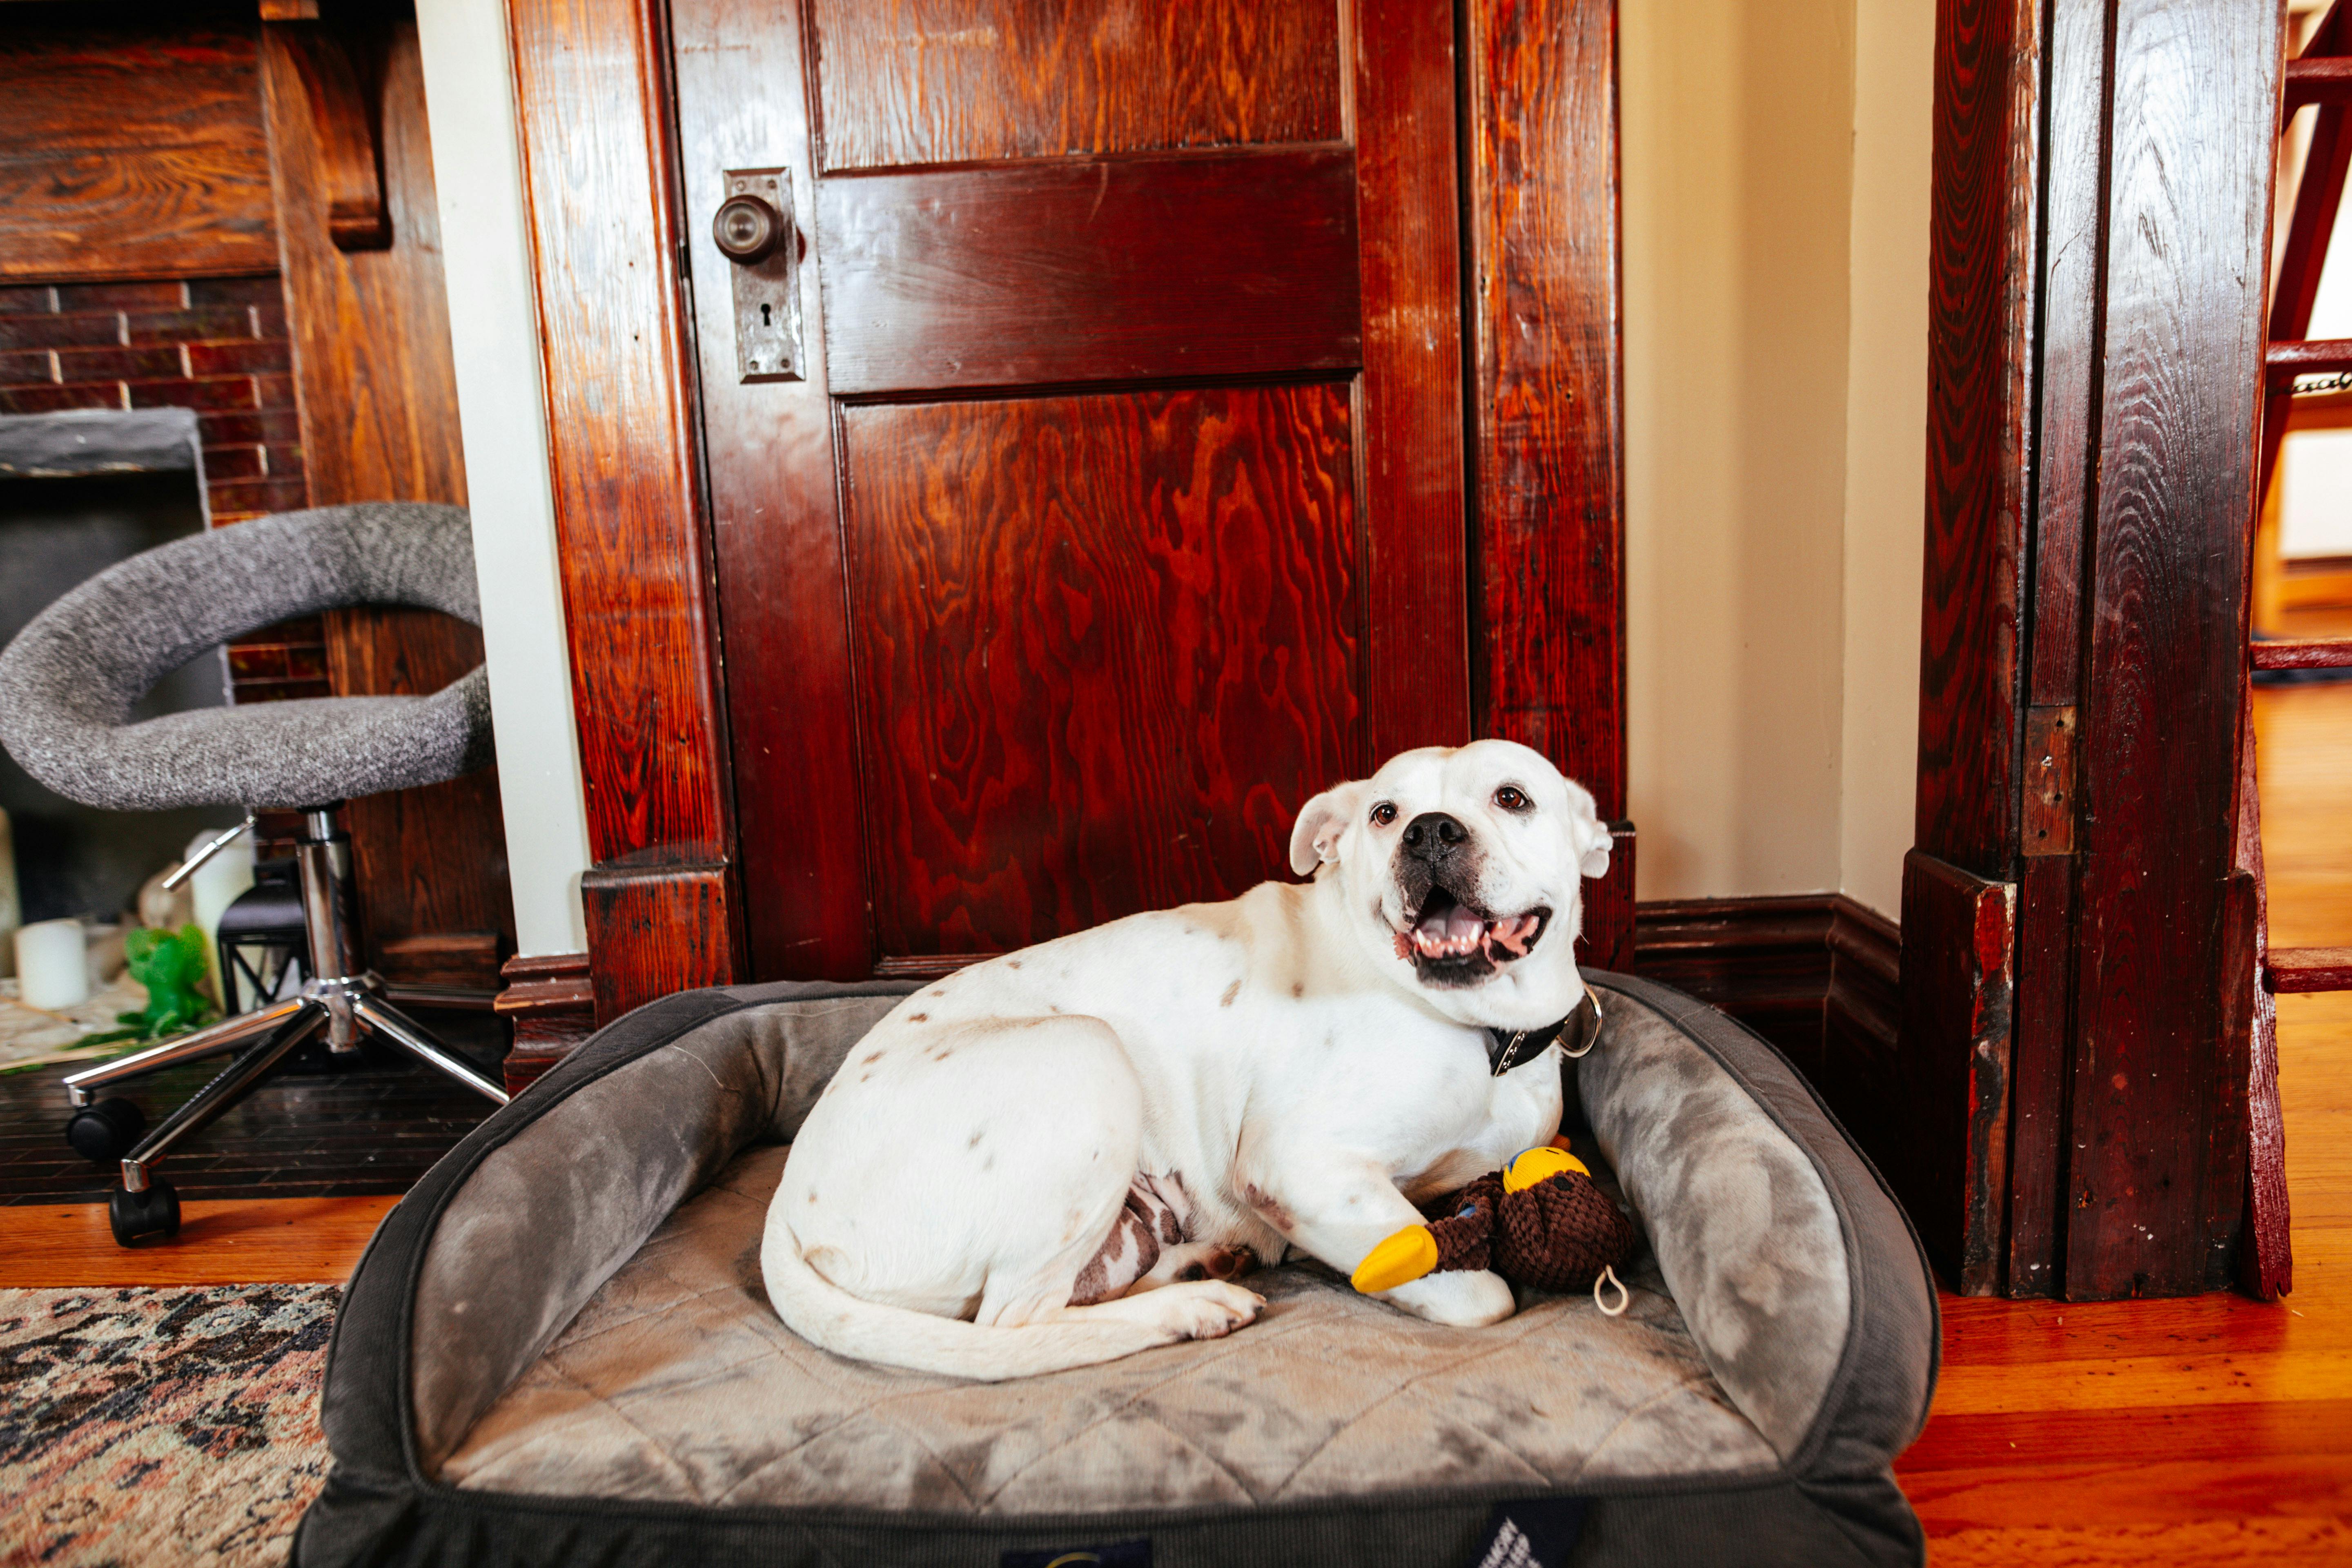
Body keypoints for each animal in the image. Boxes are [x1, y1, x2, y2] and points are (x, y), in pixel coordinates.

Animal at [762, 743, 1608, 1382]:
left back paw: (1201, 1266)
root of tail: (786, 1208)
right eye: (1384, 814)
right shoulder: (1301, 1169)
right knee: (1012, 1325)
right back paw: (1184, 1310)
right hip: (1085, 1053)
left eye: (1512, 798)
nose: (1430, 832)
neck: (1482, 1031)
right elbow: (1467, 1285)